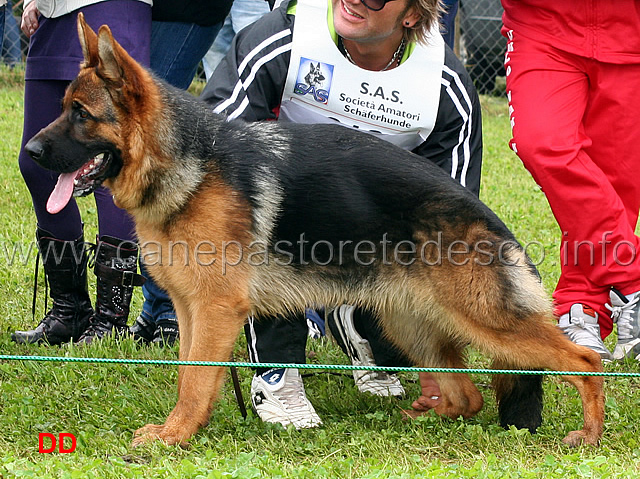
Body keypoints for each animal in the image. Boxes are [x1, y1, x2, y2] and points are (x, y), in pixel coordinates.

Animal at [25, 15, 604, 450]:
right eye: (63, 109)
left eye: (81, 114)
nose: (29, 151)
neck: (186, 162)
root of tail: (488, 218)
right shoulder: (191, 309)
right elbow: (191, 375)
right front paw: (183, 431)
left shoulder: (215, 309)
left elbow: (194, 381)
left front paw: (174, 436)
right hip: (410, 324)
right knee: (469, 396)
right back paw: (422, 418)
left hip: (487, 322)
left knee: (585, 361)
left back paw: (589, 433)